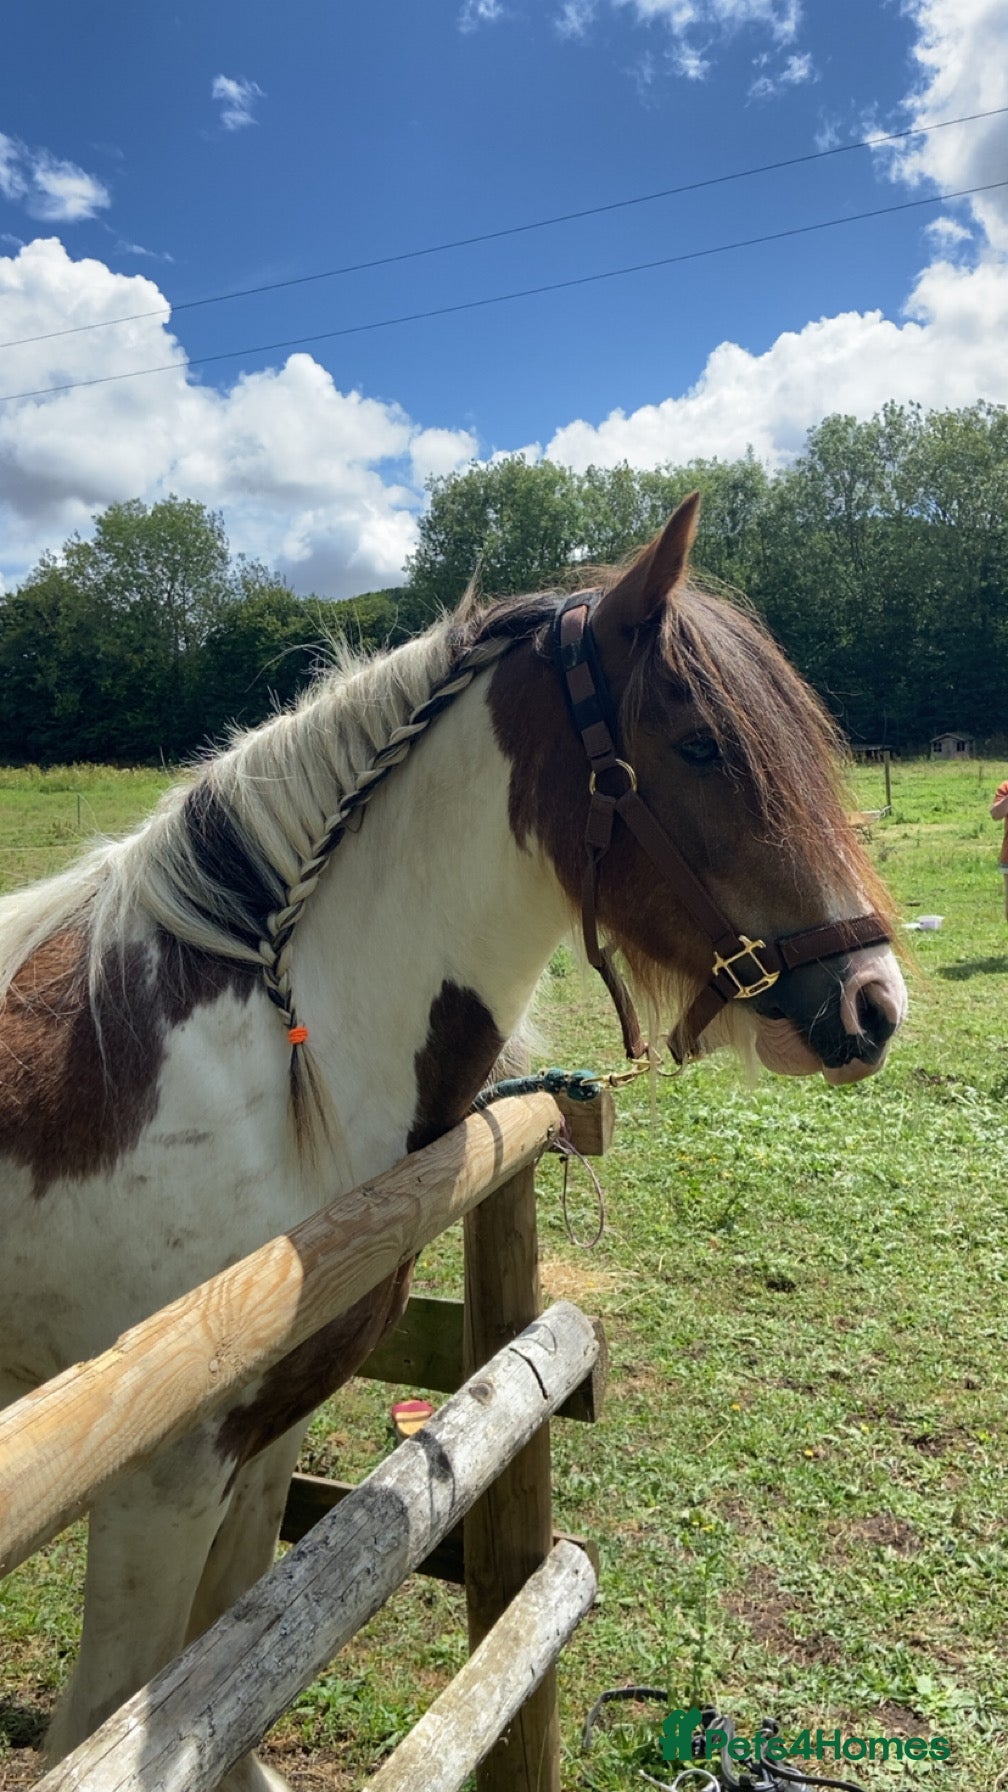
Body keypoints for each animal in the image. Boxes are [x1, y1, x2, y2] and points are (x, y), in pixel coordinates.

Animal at [0, 495, 906, 1791]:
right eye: (699, 747)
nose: (874, 1005)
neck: (270, 1067)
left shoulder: (264, 1437)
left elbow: (231, 1661)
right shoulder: (156, 1477)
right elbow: (111, 1721)